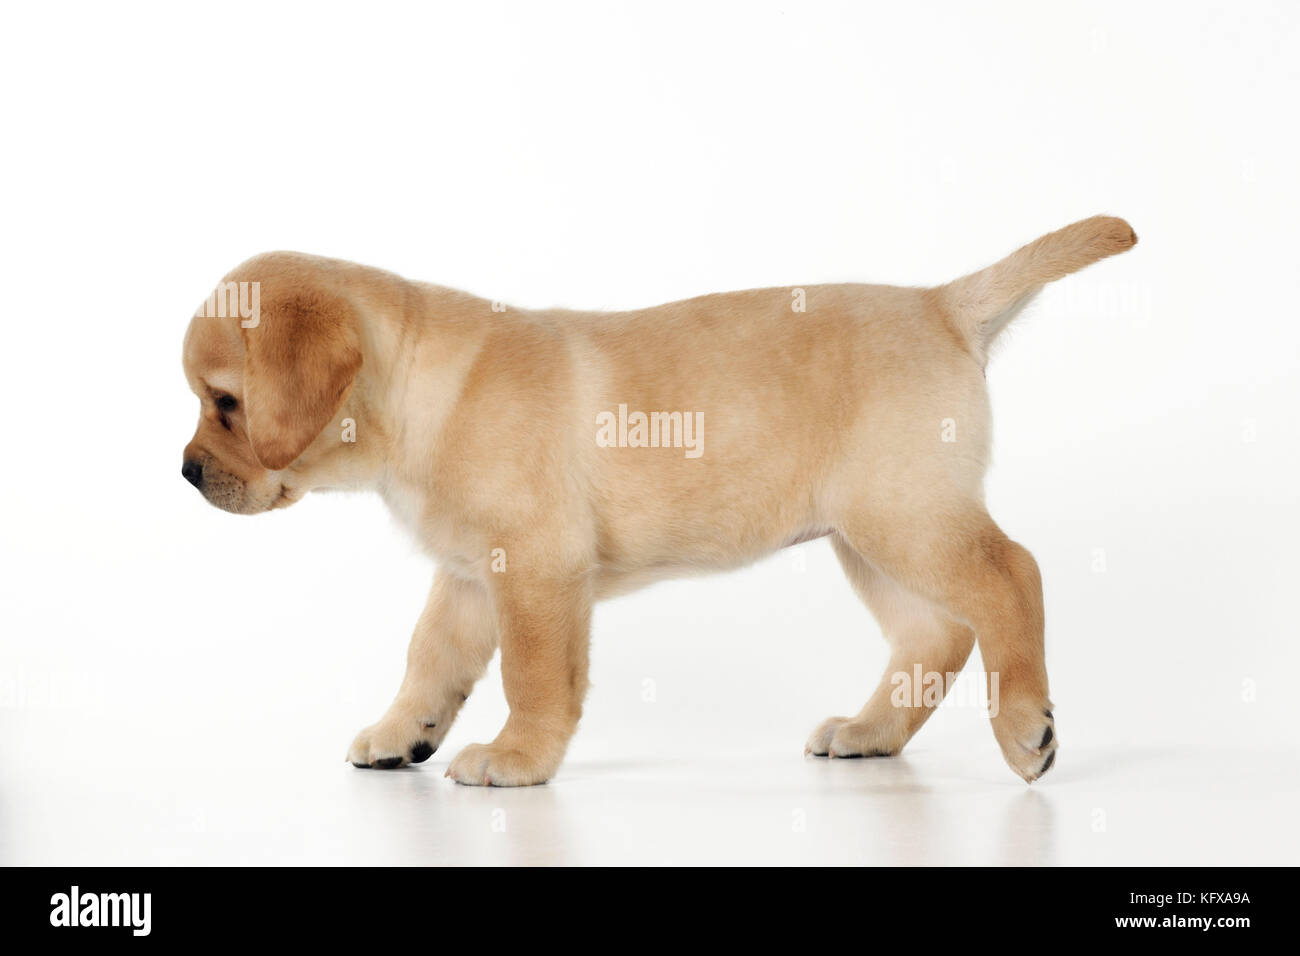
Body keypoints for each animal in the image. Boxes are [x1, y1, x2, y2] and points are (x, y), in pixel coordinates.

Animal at [178, 217, 1133, 785]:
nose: (184, 473)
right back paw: (869, 732)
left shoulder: (536, 569)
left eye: (225, 403)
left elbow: (532, 675)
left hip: (904, 514)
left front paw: (518, 757)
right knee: (936, 634)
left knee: (1013, 576)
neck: (417, 394)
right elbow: (429, 659)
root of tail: (940, 305)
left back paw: (1025, 726)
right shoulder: (470, 575)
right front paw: (402, 733)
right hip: (867, 535)